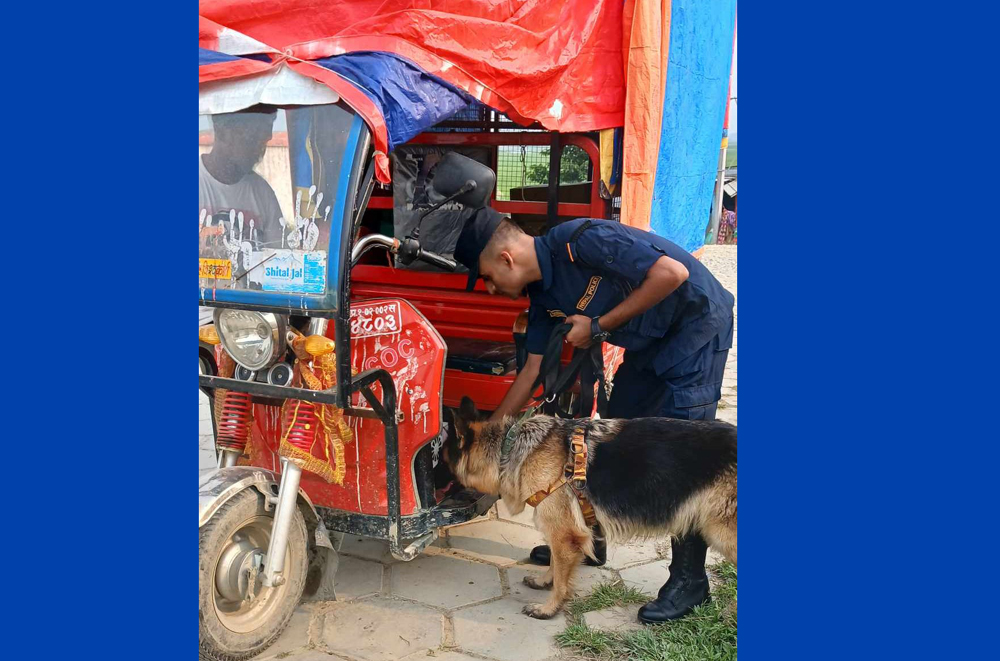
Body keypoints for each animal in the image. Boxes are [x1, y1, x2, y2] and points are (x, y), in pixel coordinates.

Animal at [444, 398, 736, 620]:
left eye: (442, 459)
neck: (511, 448)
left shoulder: (564, 534)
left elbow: (562, 578)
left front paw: (549, 608)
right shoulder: (563, 534)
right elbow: (554, 562)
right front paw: (544, 581)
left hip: (723, 534)